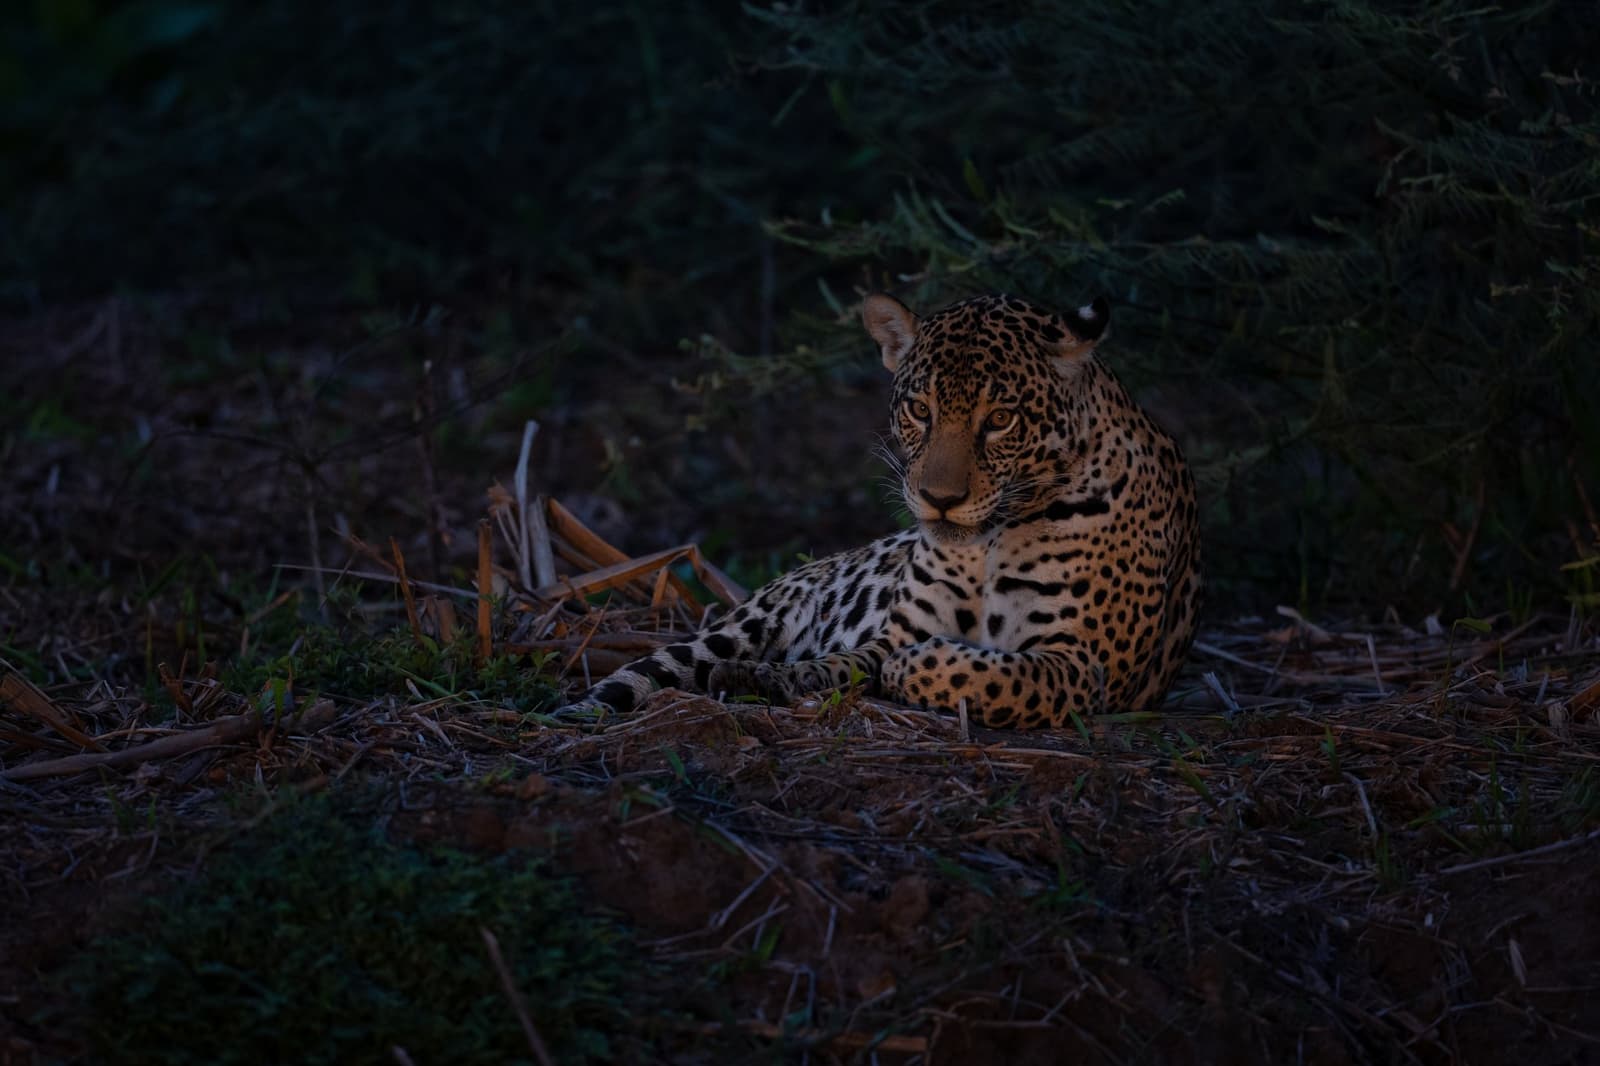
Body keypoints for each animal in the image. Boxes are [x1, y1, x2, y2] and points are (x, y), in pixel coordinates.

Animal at [570, 290, 1202, 729]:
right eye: (920, 410)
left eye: (1001, 419)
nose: (940, 500)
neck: (989, 544)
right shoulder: (902, 629)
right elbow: (842, 663)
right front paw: (782, 676)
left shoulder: (1083, 663)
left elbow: (996, 676)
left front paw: (917, 669)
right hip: (742, 622)